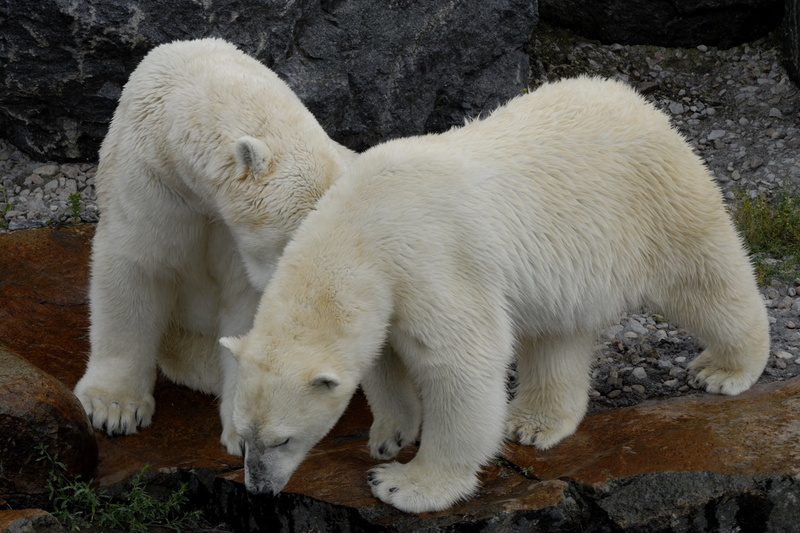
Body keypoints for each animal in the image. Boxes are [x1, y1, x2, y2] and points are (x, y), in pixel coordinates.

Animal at [222, 75, 772, 512]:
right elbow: (381, 356)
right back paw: (533, 422)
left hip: (654, 204)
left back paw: (725, 369)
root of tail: (632, 97)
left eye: (283, 439)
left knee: (703, 281)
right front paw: (389, 436)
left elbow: (460, 360)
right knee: (556, 334)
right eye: (243, 437)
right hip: (568, 263)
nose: (258, 490)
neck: (358, 228)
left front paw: (405, 485)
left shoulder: (429, 260)